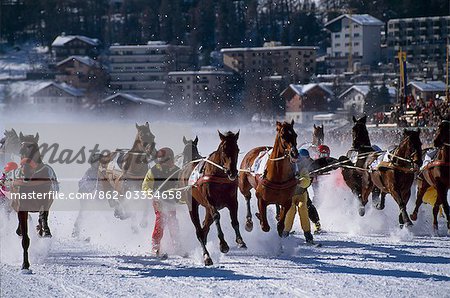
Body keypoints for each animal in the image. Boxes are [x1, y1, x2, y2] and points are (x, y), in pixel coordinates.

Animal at [12, 132, 57, 272]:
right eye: (21, 151)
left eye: (35, 150)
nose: (25, 171)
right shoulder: (21, 206)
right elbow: (25, 238)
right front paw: (25, 265)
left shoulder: (46, 199)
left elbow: (43, 213)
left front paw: (45, 230)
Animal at [178, 130, 246, 266]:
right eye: (224, 149)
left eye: (237, 149)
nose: (232, 172)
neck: (219, 176)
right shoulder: (210, 202)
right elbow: (216, 216)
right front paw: (223, 244)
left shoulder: (232, 201)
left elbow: (234, 220)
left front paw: (240, 240)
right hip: (192, 205)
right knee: (199, 231)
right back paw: (206, 256)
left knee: (205, 227)